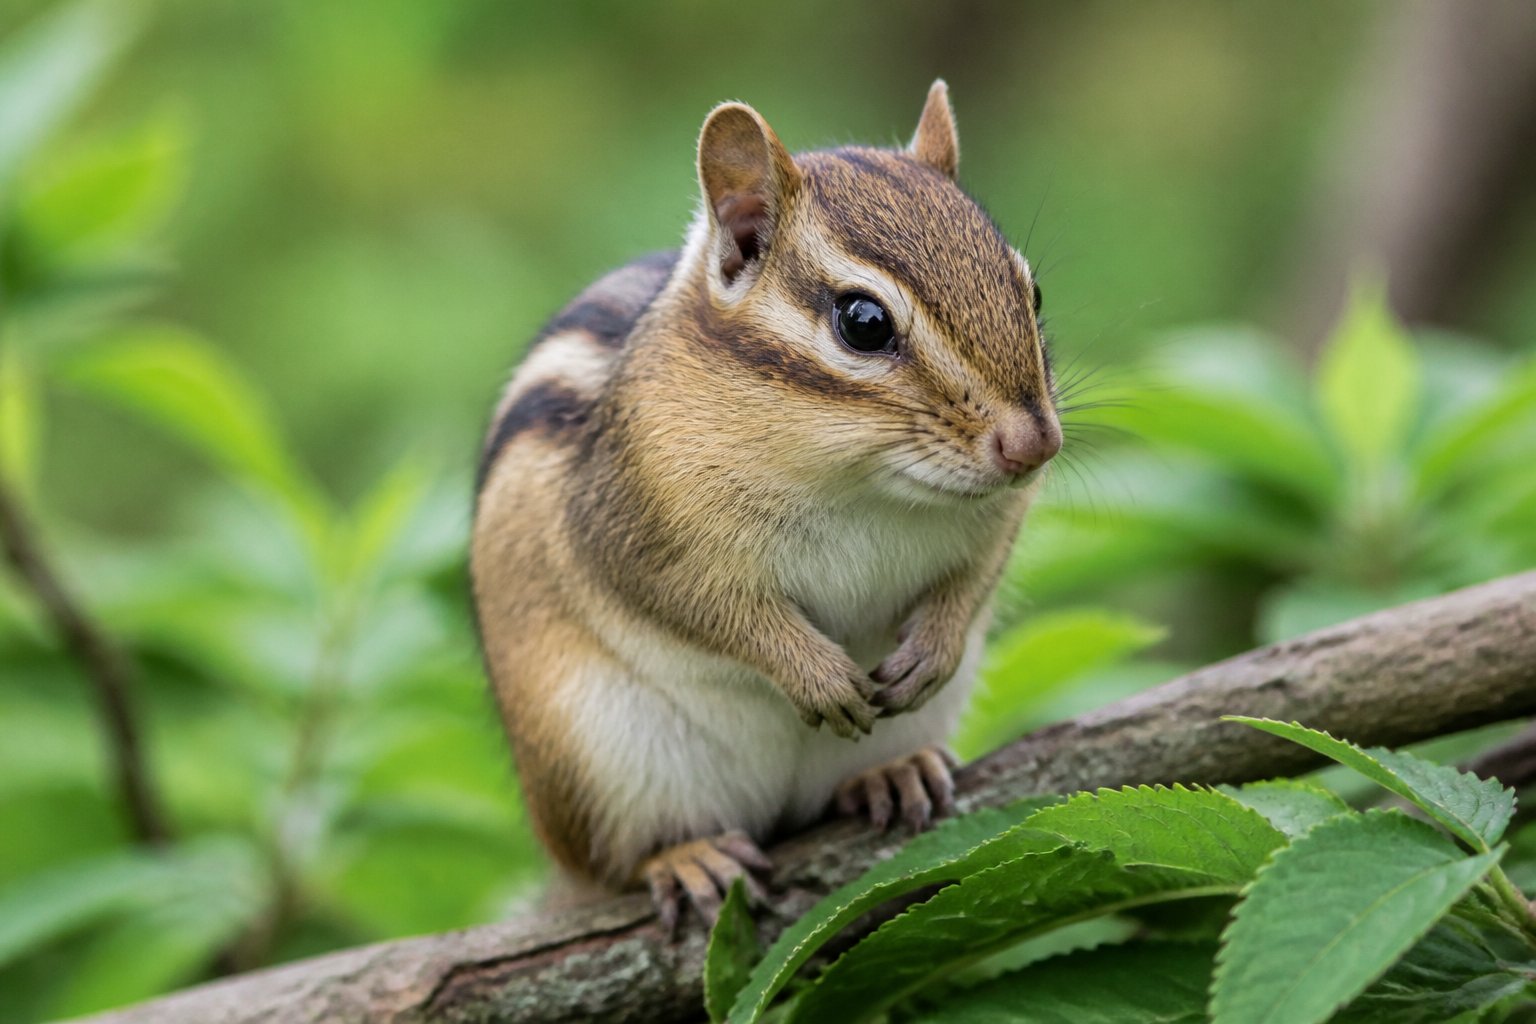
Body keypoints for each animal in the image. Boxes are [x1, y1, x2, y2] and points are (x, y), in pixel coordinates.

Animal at [471, 80, 1061, 930]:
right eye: (863, 322)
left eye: (1031, 290)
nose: (1035, 445)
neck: (858, 480)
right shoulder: (630, 529)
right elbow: (709, 609)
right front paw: (816, 675)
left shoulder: (997, 519)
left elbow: (975, 574)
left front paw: (935, 647)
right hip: (593, 759)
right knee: (617, 864)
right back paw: (683, 857)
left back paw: (893, 773)